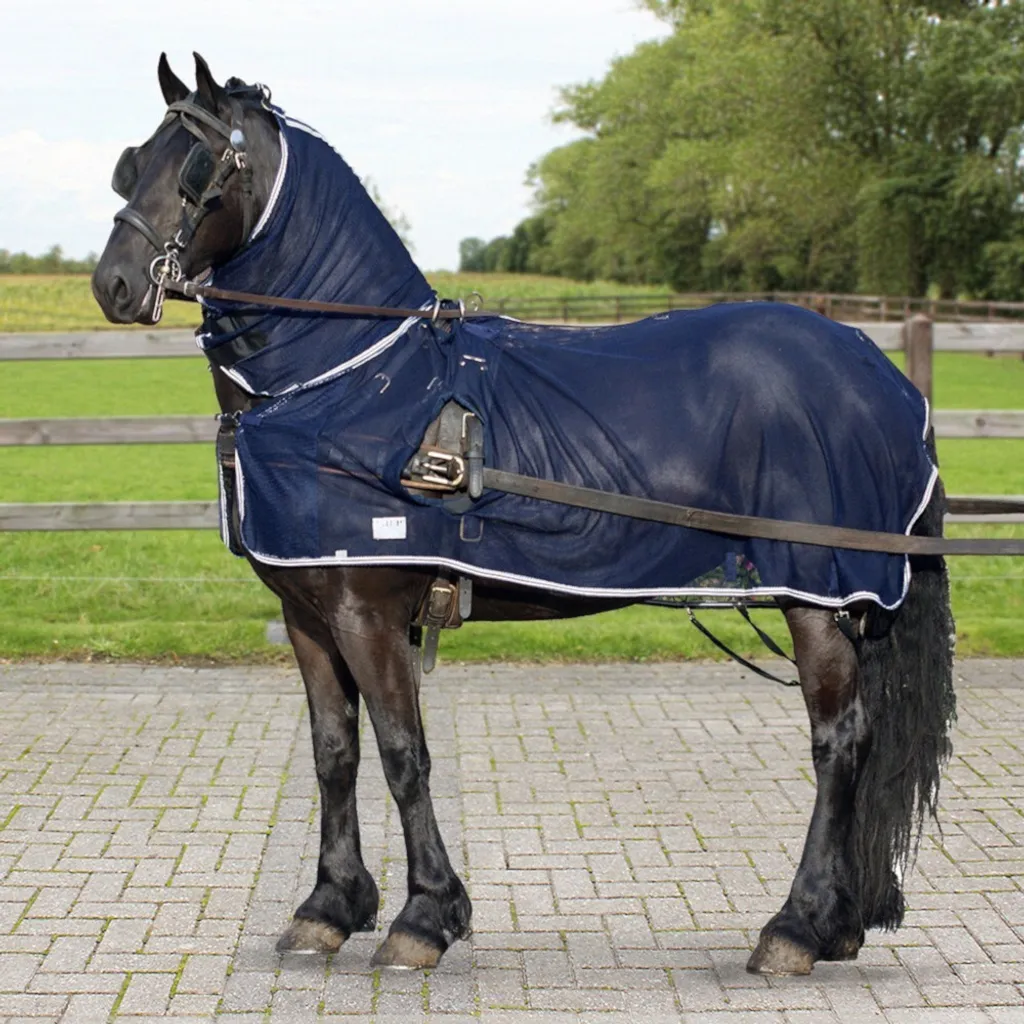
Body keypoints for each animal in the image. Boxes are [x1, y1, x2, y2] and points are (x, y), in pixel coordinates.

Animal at [91, 53, 956, 976]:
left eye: (196, 165)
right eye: (131, 162)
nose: (113, 284)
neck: (347, 379)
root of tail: (887, 380)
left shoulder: (368, 613)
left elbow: (402, 755)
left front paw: (424, 916)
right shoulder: (309, 614)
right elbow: (334, 754)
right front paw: (330, 906)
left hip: (815, 596)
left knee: (840, 741)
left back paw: (796, 925)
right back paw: (837, 924)